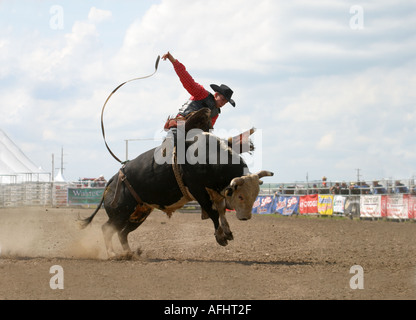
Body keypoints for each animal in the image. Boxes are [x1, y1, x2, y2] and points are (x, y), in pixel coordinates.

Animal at [80, 110, 274, 258]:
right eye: (240, 196)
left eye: (255, 195)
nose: (246, 217)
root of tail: (113, 180)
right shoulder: (198, 190)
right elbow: (212, 211)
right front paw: (220, 237)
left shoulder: (215, 190)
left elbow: (220, 210)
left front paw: (226, 231)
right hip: (120, 212)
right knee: (106, 228)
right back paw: (113, 254)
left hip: (139, 214)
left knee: (122, 232)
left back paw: (130, 254)